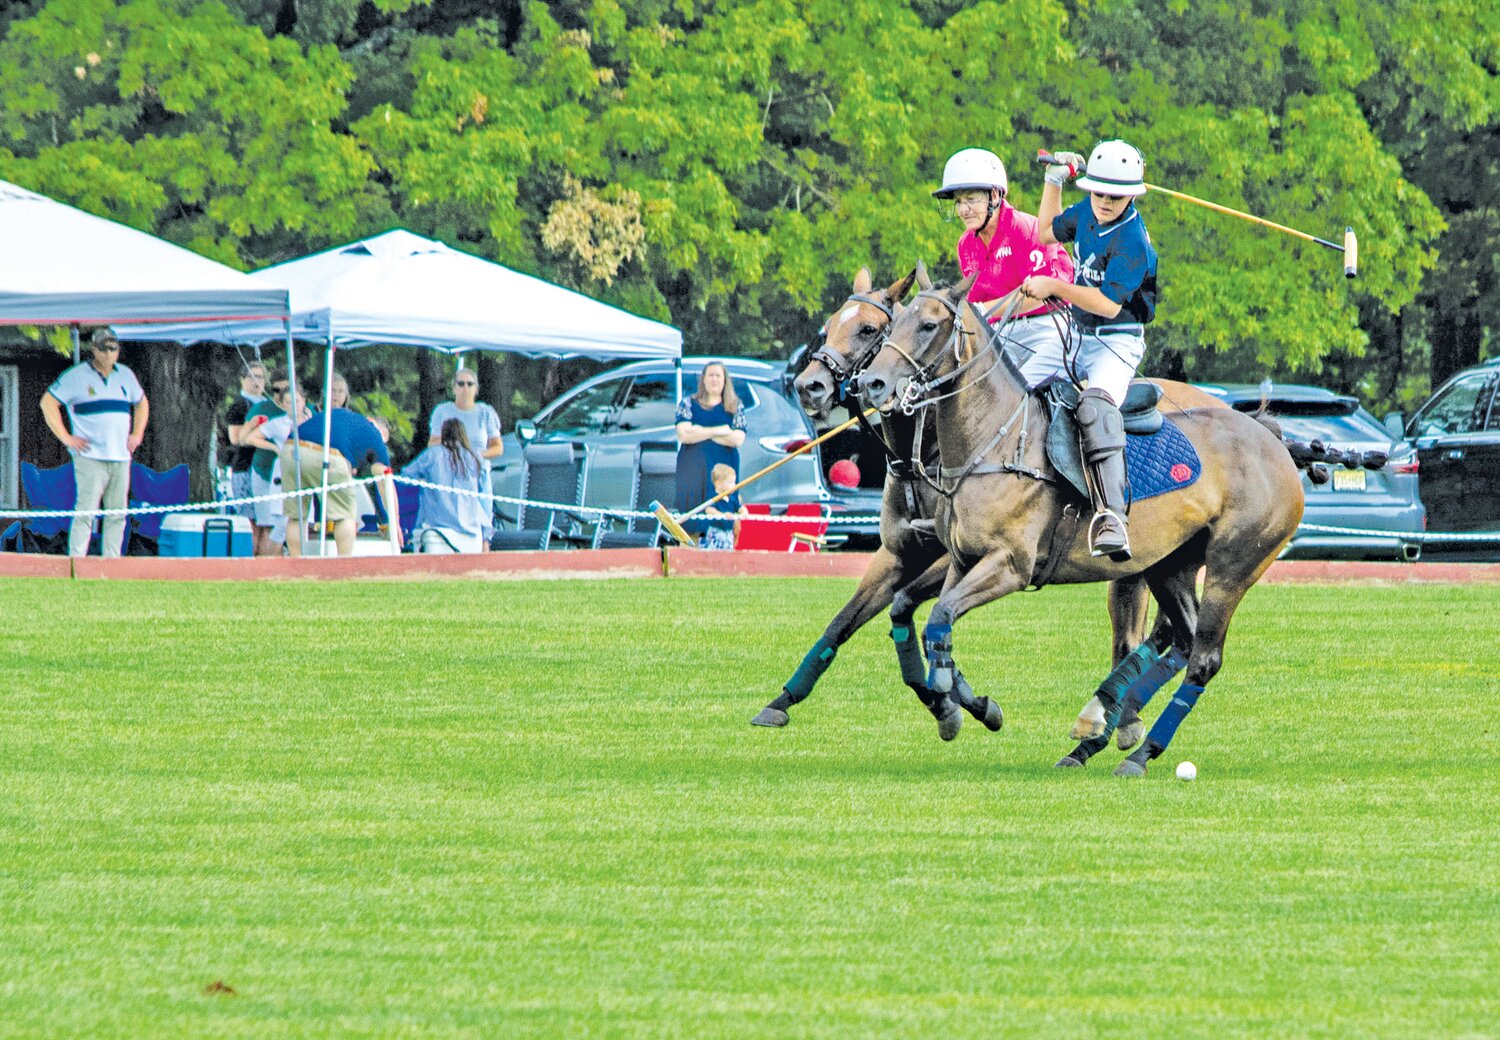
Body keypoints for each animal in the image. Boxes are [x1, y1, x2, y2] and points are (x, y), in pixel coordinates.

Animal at [768, 264, 1236, 759]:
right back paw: (1116, 719)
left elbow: (913, 611)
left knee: (1157, 630)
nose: (809, 386)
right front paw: (783, 700)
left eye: (870, 329)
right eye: (830, 324)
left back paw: (1111, 717)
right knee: (1144, 627)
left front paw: (958, 704)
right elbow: (849, 620)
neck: (929, 448)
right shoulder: (897, 553)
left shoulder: (960, 558)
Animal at [858, 271, 1302, 774]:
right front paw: (970, 706)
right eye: (892, 325)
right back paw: (1102, 731)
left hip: (1233, 566)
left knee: (1204, 658)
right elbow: (935, 621)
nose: (872, 383)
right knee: (1184, 640)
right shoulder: (962, 561)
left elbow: (939, 617)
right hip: (1170, 564)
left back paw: (1136, 748)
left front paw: (955, 703)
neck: (994, 443)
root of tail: (1270, 438)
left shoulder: (1010, 566)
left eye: (929, 324)